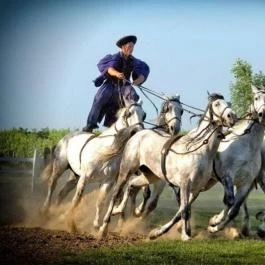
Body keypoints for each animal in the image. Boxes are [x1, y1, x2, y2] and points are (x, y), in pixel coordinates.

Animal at [98, 92, 234, 239]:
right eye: (217, 104)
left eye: (228, 104)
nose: (232, 116)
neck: (198, 150)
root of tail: (138, 133)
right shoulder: (185, 184)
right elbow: (184, 210)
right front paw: (185, 236)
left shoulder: (196, 189)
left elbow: (181, 211)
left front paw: (157, 232)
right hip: (126, 170)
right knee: (116, 194)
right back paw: (103, 228)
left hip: (149, 176)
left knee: (132, 185)